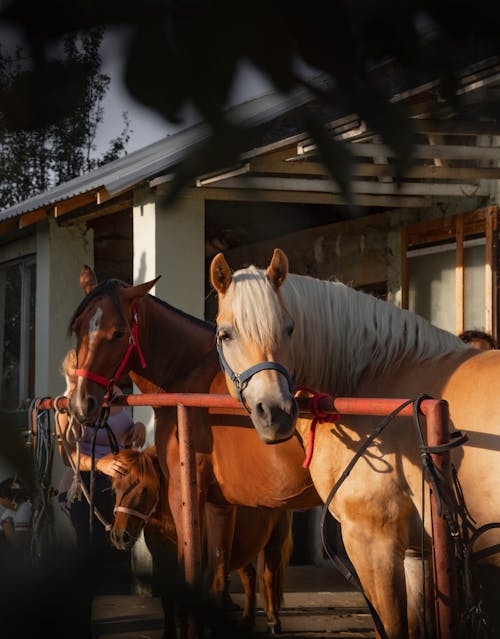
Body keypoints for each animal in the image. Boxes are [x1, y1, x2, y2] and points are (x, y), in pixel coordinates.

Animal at [112, 448, 292, 632]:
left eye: (145, 489)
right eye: (115, 489)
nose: (120, 536)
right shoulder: (162, 560)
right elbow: (167, 600)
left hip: (275, 542)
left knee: (268, 578)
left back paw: (273, 620)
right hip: (241, 548)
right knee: (250, 576)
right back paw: (247, 620)